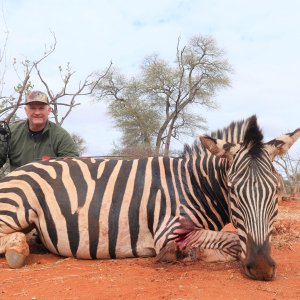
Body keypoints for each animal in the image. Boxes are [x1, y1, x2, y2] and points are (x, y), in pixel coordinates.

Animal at [0, 116, 298, 280]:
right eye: (233, 190)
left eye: (276, 191)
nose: (261, 268)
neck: (194, 183)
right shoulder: (168, 230)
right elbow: (234, 242)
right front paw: (181, 254)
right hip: (18, 204)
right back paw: (17, 249)